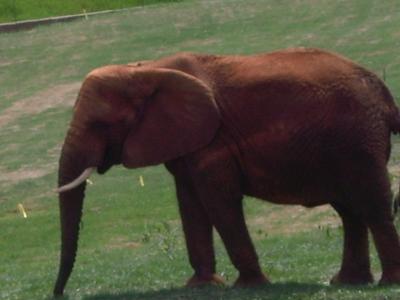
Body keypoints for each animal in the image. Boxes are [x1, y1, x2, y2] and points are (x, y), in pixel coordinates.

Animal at [53, 48, 400, 296]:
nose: (59, 294)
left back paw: (386, 284)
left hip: (359, 139)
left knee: (371, 204)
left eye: (101, 124)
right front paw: (202, 286)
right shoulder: (188, 141)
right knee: (349, 209)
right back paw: (347, 282)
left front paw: (250, 286)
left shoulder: (214, 142)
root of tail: (385, 94)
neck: (145, 68)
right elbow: (190, 202)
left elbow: (218, 201)